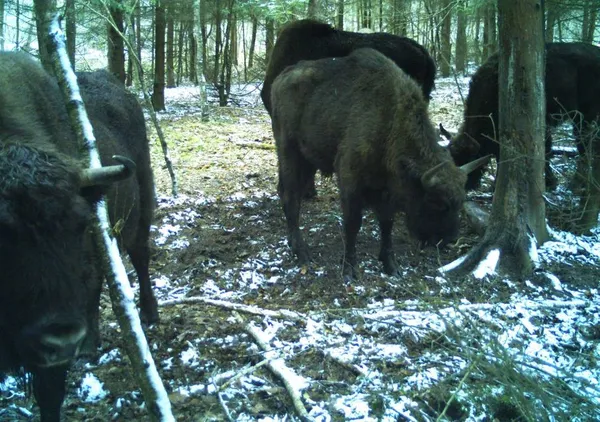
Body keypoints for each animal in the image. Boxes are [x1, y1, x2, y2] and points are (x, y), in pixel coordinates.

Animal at [0, 52, 157, 422]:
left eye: (78, 222)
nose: (61, 340)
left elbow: (50, 393)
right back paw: (89, 345)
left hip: (142, 206)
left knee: (140, 256)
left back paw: (147, 314)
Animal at [272, 48, 488, 280]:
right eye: (436, 202)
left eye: (461, 201)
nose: (447, 241)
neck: (391, 122)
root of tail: (280, 79)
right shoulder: (350, 183)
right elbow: (353, 224)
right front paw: (349, 269)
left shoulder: (386, 192)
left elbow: (386, 225)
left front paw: (391, 266)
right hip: (289, 153)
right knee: (291, 199)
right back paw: (301, 252)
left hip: (308, 160)